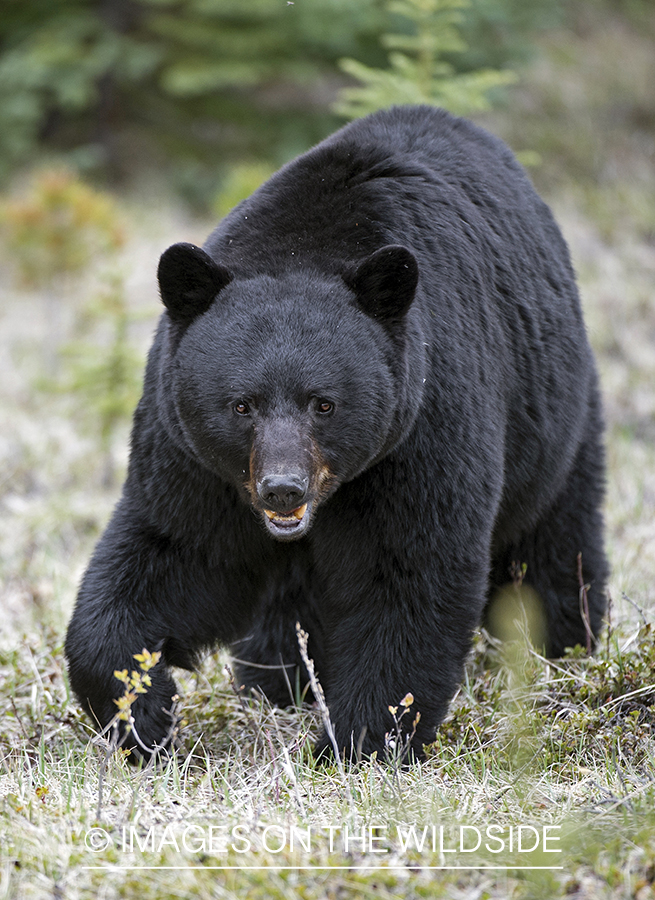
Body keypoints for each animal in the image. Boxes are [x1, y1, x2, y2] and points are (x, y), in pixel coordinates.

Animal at [66, 107, 608, 768]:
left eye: (324, 404)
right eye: (241, 404)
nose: (281, 488)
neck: (304, 245)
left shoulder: (422, 425)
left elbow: (409, 573)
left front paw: (357, 744)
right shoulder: (194, 456)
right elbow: (176, 552)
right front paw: (142, 711)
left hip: (555, 419)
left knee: (555, 543)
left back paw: (565, 647)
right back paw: (279, 680)